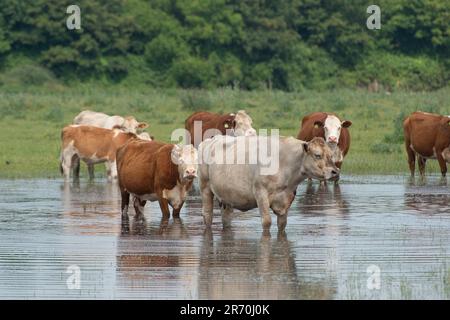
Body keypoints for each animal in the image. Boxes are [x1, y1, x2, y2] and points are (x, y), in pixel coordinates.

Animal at [199, 134, 340, 230]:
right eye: (317, 155)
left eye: (330, 155)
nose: (335, 172)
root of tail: (211, 139)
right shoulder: (260, 193)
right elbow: (266, 222)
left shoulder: (287, 198)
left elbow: (282, 224)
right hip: (205, 187)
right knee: (207, 215)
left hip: (227, 197)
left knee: (226, 218)